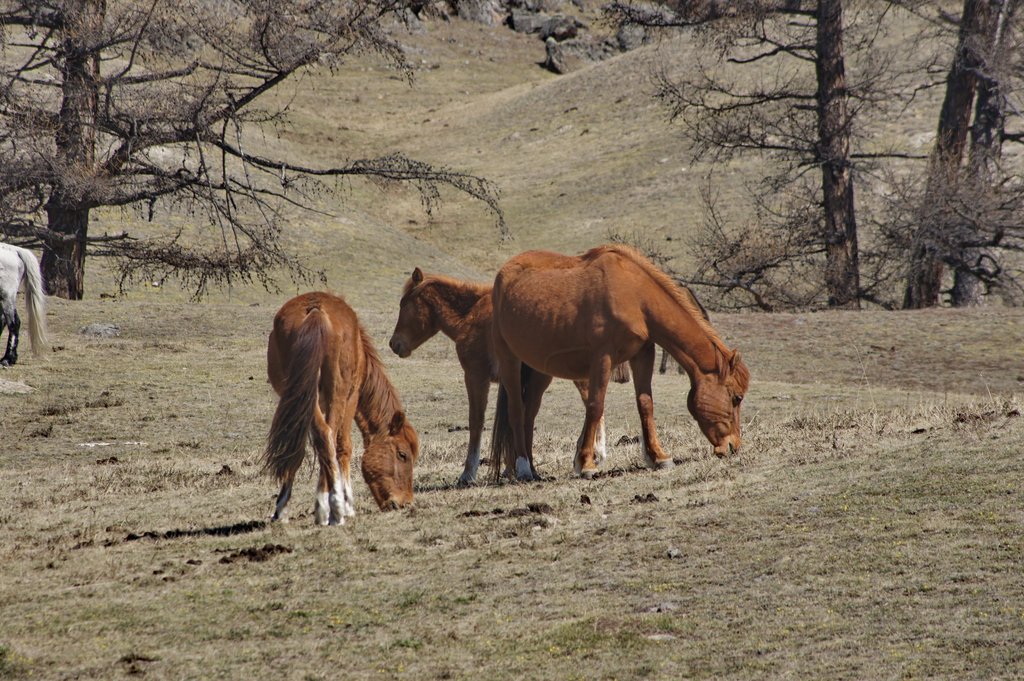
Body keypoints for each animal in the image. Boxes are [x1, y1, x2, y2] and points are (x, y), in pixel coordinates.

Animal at [268, 288, 423, 522]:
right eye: (402, 454)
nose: (404, 503)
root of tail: (316, 310)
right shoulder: (352, 397)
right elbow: (343, 446)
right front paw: (347, 503)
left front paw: (282, 507)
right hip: (338, 394)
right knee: (329, 436)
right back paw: (331, 508)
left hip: (304, 395)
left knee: (316, 439)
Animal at [385, 266, 622, 483]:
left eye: (403, 303)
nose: (394, 343)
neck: (470, 314)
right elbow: (515, 419)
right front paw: (513, 467)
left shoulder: (475, 375)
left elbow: (477, 421)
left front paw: (468, 473)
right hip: (544, 377)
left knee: (591, 405)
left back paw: (592, 456)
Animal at [485, 242, 745, 477]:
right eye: (736, 397)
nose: (733, 446)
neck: (636, 296)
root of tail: (503, 275)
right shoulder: (603, 358)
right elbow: (595, 405)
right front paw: (586, 464)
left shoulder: (642, 354)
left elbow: (645, 404)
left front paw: (658, 457)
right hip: (509, 360)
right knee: (516, 411)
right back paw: (522, 468)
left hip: (539, 370)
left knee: (529, 414)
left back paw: (533, 469)